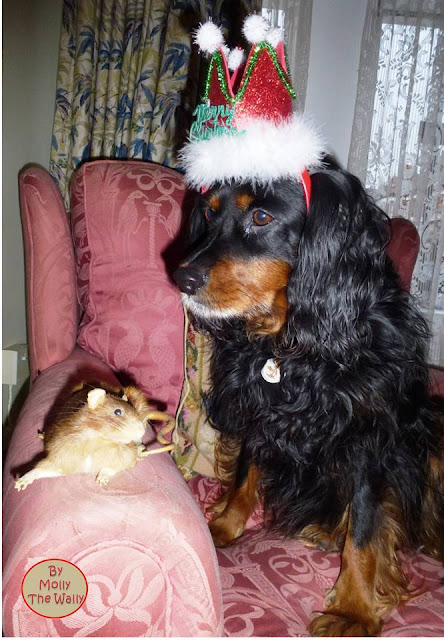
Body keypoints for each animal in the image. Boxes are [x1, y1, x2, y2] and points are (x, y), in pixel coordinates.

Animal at [174, 156, 444, 636]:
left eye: (262, 217)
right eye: (207, 212)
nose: (183, 277)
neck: (295, 345)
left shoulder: (370, 435)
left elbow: (365, 526)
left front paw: (353, 608)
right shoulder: (256, 410)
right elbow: (243, 475)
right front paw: (224, 526)